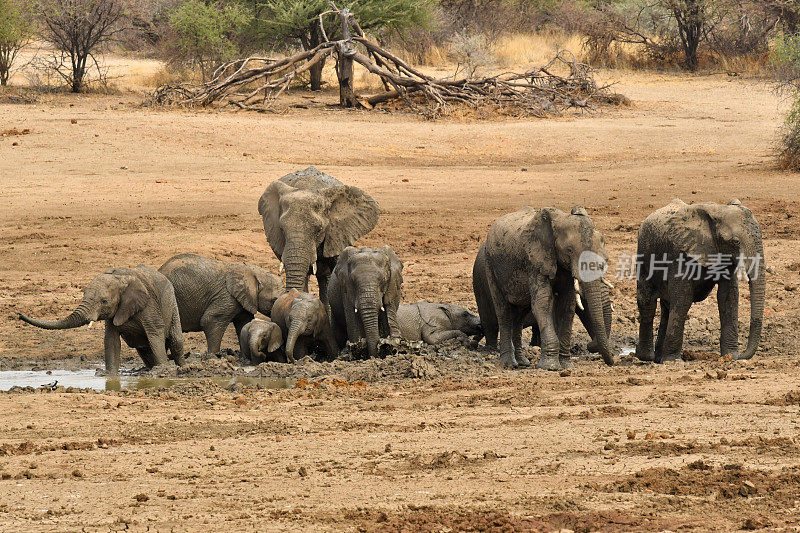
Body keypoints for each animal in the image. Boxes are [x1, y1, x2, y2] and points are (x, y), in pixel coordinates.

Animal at [18, 266, 184, 374]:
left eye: (104, 301)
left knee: (175, 342)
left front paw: (163, 370)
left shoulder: (149, 306)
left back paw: (182, 368)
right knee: (144, 349)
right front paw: (108, 375)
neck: (119, 279)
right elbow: (111, 341)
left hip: (172, 304)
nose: (19, 314)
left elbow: (155, 335)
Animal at [636, 198, 764, 362]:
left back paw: (658, 358)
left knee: (666, 306)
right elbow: (683, 298)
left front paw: (731, 356)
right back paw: (647, 357)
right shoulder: (680, 254)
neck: (718, 211)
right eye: (735, 242)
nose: (742, 355)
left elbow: (729, 297)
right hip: (644, 254)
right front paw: (673, 361)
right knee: (647, 303)